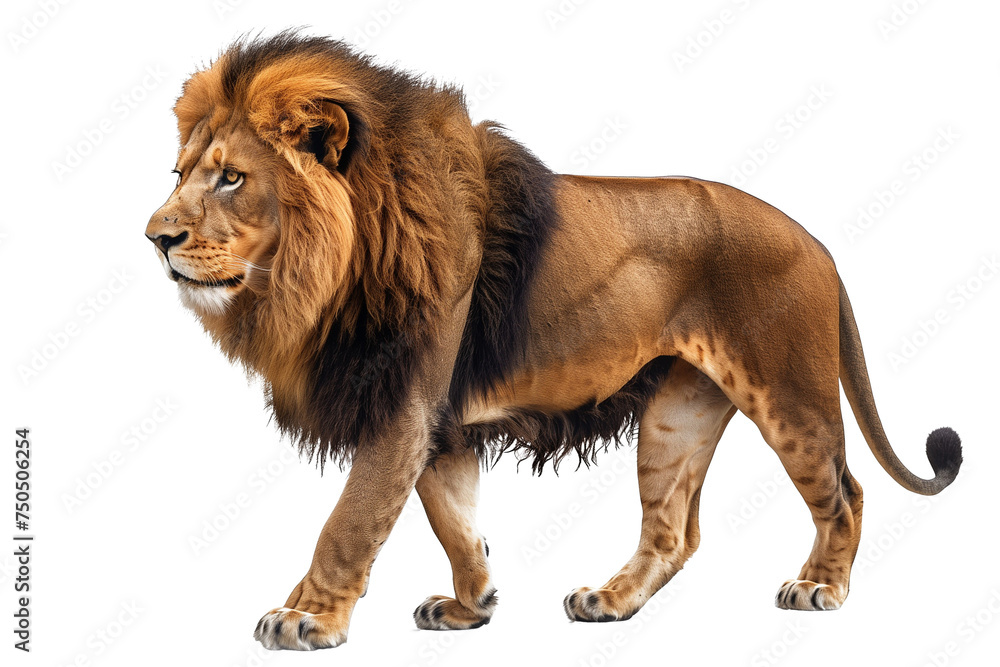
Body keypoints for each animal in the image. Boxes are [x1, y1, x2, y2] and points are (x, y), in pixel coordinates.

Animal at [145, 32, 963, 650]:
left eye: (230, 178)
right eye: (181, 174)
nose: (155, 237)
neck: (322, 273)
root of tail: (818, 242)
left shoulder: (402, 403)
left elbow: (349, 522)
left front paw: (305, 615)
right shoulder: (435, 418)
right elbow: (452, 518)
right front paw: (472, 603)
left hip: (790, 396)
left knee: (846, 493)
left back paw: (820, 584)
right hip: (678, 413)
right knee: (673, 532)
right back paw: (609, 600)